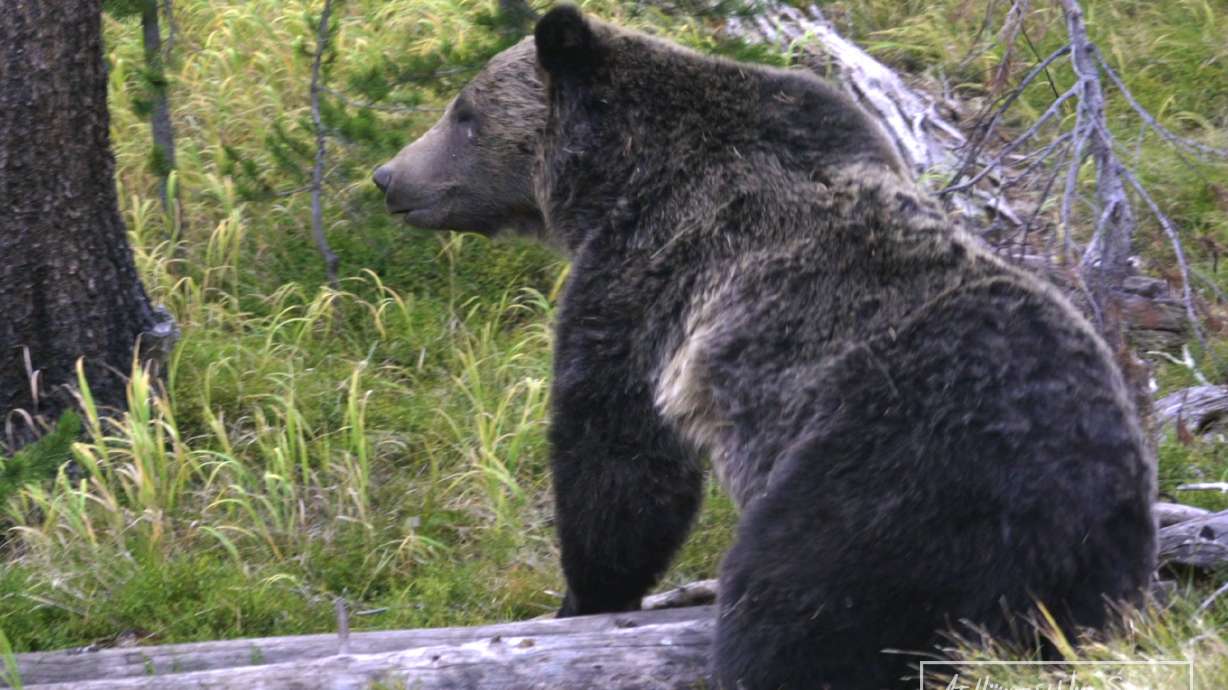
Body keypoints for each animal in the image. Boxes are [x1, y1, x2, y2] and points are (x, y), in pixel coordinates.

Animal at [375, 7, 1157, 689]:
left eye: (464, 112)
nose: (388, 176)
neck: (616, 176)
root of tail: (1074, 496)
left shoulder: (650, 277)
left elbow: (617, 449)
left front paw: (586, 595)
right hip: (1091, 578)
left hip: (884, 493)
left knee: (793, 615)